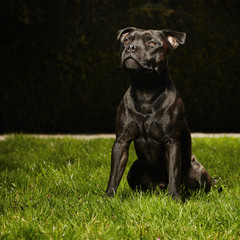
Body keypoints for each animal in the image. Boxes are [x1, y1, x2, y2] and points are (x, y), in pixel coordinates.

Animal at [106, 27, 211, 200]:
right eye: (126, 40)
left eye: (152, 43)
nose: (131, 47)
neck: (145, 91)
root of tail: (161, 184)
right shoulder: (121, 141)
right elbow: (114, 173)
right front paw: (108, 197)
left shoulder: (172, 142)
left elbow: (174, 173)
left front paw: (175, 198)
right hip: (134, 169)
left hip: (197, 170)